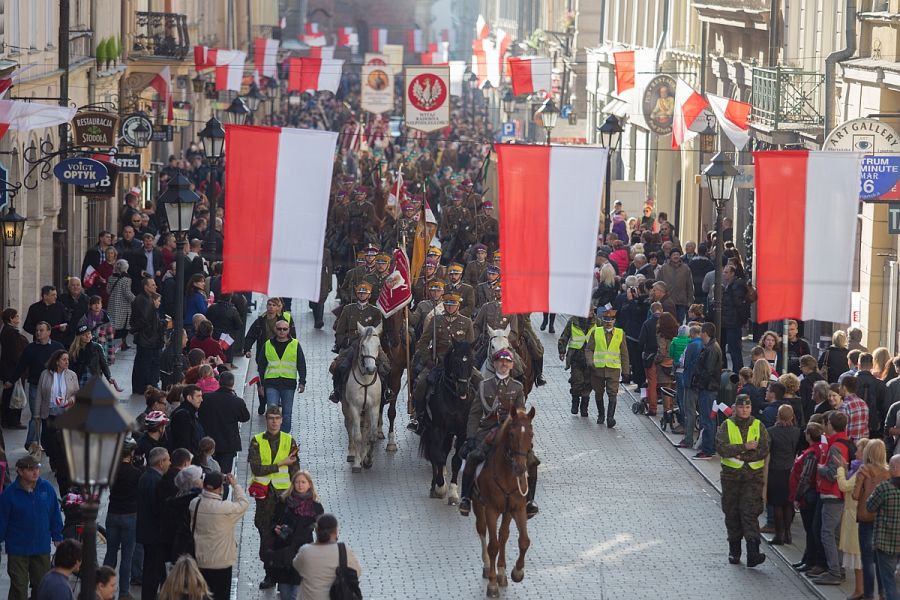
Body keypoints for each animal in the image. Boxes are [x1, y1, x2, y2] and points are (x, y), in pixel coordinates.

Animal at [342, 323, 383, 473]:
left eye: (378, 345)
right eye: (363, 345)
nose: (371, 369)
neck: (365, 381)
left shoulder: (374, 407)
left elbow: (371, 436)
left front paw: (368, 460)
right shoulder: (354, 407)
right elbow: (357, 436)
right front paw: (357, 463)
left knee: (365, 429)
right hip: (346, 406)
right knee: (349, 426)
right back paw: (352, 453)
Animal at [418, 340, 474, 503]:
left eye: (472, 361)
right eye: (455, 361)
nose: (463, 389)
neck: (454, 399)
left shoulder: (462, 431)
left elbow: (456, 461)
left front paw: (453, 491)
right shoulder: (438, 428)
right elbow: (439, 457)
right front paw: (440, 487)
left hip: (450, 433)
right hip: (431, 429)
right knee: (434, 454)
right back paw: (434, 485)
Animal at [473, 406, 535, 598]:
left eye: (531, 434)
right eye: (512, 434)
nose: (521, 468)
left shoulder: (518, 508)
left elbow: (523, 541)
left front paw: (517, 572)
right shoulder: (491, 510)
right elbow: (493, 545)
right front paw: (492, 584)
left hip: (506, 512)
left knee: (503, 535)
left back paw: (501, 572)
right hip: (478, 505)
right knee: (482, 530)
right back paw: (488, 566)